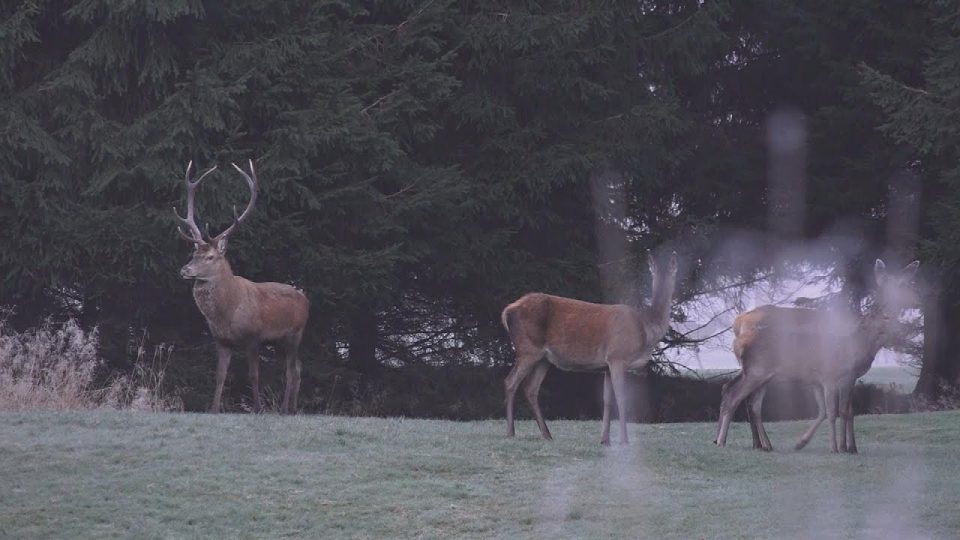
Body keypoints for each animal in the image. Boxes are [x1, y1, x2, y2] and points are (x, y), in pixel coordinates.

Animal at [172, 160, 308, 414]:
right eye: (194, 253)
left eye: (211, 257)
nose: (185, 270)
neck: (227, 313)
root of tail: (306, 298)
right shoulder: (221, 341)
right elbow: (220, 376)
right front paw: (214, 409)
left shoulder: (253, 337)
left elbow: (253, 375)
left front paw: (257, 408)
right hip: (279, 341)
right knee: (298, 367)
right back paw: (290, 408)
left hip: (295, 333)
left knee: (291, 370)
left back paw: (286, 409)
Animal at [498, 251, 680, 446]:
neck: (646, 328)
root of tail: (507, 311)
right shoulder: (618, 356)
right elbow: (621, 398)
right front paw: (624, 440)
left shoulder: (606, 365)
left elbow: (607, 400)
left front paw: (605, 440)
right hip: (528, 348)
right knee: (510, 382)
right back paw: (510, 431)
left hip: (543, 358)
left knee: (530, 388)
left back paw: (547, 434)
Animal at [716, 260, 920, 454]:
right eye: (887, 285)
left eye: (904, 284)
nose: (903, 325)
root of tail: (737, 328)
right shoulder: (833, 376)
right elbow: (836, 411)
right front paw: (839, 447)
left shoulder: (842, 378)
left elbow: (844, 411)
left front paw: (848, 447)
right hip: (757, 371)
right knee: (735, 395)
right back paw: (723, 441)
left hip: (761, 374)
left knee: (748, 401)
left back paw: (760, 444)